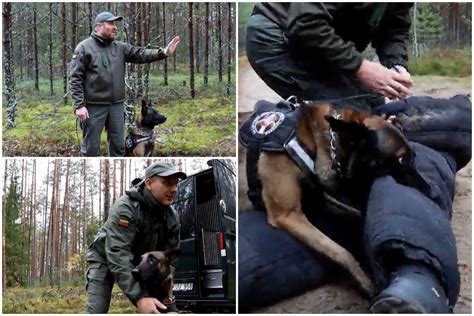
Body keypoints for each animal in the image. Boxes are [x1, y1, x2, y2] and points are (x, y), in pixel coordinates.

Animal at [244, 102, 426, 298]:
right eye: (401, 159)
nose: (431, 191)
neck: (313, 140)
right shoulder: (287, 215)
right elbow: (341, 252)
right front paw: (366, 281)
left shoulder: (322, 199)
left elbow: (356, 216)